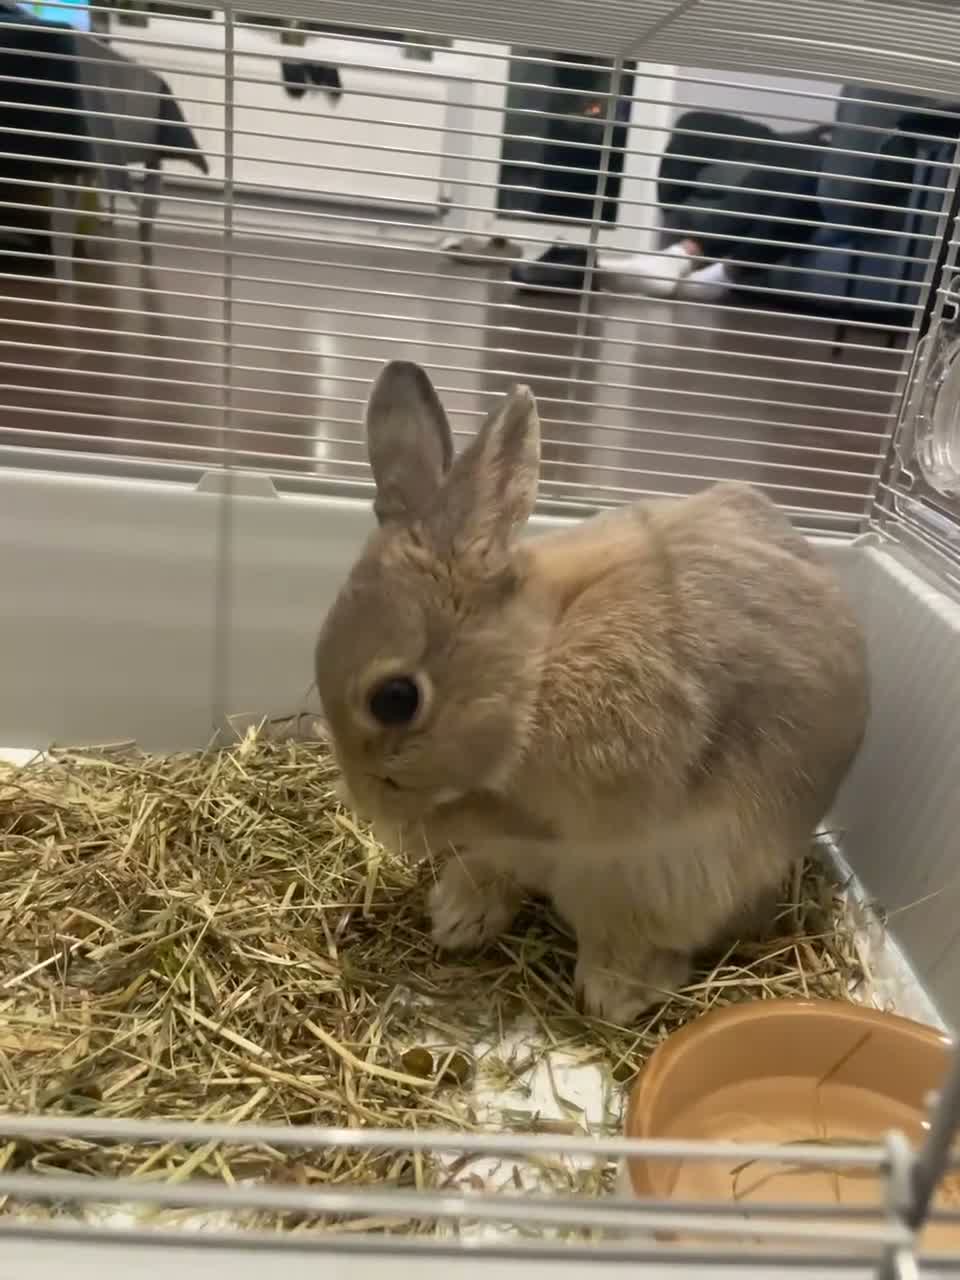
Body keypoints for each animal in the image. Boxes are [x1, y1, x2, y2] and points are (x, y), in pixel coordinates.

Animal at [314, 360, 869, 1024]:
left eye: (395, 699)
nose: (366, 800)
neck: (538, 664)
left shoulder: (594, 793)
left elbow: (504, 812)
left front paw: (409, 831)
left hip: (671, 883)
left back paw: (613, 992)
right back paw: (457, 915)